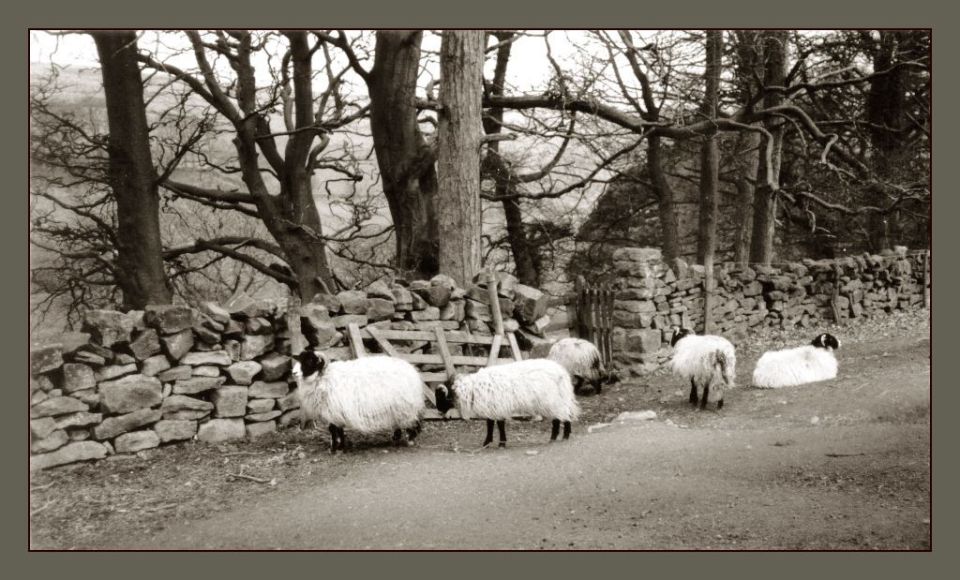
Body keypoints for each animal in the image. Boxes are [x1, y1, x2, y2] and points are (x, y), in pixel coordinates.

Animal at [292, 348, 428, 454]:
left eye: (309, 361)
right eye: (299, 359)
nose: (293, 372)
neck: (322, 377)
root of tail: (412, 370)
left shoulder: (333, 410)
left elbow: (334, 431)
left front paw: (334, 449)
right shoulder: (336, 412)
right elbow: (338, 431)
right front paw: (340, 447)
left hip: (406, 405)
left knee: (413, 421)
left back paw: (410, 440)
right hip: (396, 407)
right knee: (398, 423)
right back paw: (396, 438)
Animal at [434, 358, 576, 448]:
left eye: (440, 397)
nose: (438, 411)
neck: (471, 389)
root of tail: (561, 372)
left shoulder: (497, 407)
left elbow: (498, 425)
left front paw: (499, 443)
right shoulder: (493, 407)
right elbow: (491, 424)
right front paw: (489, 443)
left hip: (550, 400)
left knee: (558, 417)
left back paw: (556, 437)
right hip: (559, 397)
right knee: (565, 414)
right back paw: (565, 435)